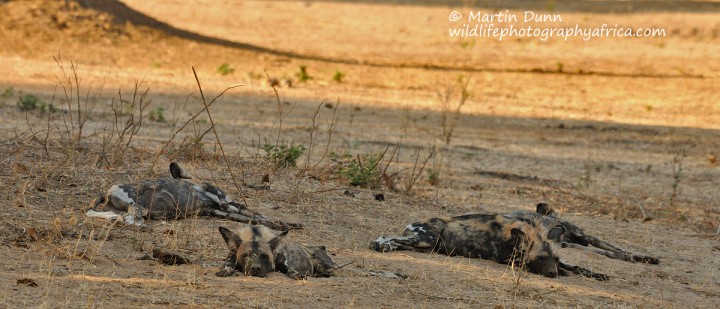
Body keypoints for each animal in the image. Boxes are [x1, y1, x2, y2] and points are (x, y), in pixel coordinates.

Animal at [86, 162, 300, 230]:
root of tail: (107, 192)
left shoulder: (221, 211)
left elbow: (256, 219)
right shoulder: (227, 204)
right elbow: (260, 216)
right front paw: (285, 225)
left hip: (117, 211)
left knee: (115, 218)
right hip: (137, 207)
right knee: (129, 220)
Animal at [217, 225, 402, 278]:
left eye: (264, 256)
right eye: (245, 256)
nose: (255, 268)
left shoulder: (280, 258)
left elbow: (287, 267)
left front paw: (295, 274)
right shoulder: (231, 255)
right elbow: (228, 263)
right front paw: (226, 270)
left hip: (331, 269)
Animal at [374, 212, 612, 280]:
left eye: (555, 258)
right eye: (540, 258)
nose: (553, 274)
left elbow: (575, 266)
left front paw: (597, 274)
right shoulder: (508, 260)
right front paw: (565, 273)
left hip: (425, 246)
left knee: (398, 243)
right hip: (427, 239)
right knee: (386, 237)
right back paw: (379, 244)